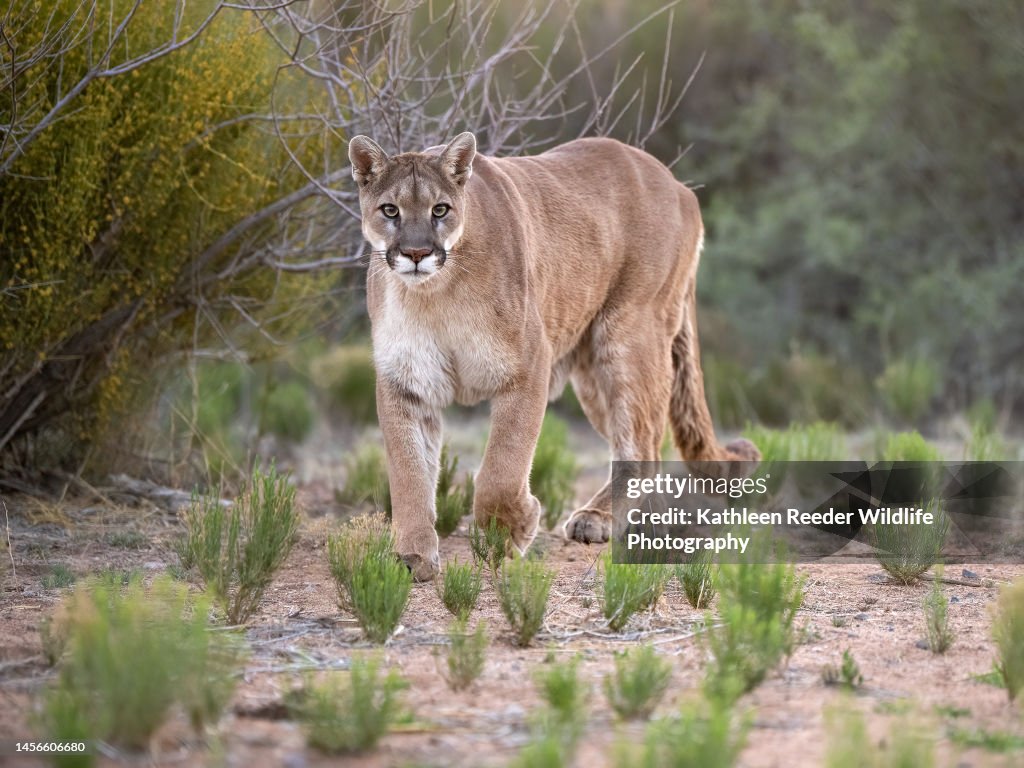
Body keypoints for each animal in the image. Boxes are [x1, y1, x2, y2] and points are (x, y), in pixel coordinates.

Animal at [348, 132, 759, 581]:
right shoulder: (404, 381)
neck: (434, 294)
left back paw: (599, 520)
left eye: (440, 209)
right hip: (594, 378)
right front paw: (412, 556)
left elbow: (502, 466)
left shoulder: (528, 365)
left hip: (629, 335)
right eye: (390, 210)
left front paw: (510, 532)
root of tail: (677, 184)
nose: (417, 253)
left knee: (643, 444)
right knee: (644, 438)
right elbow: (408, 472)